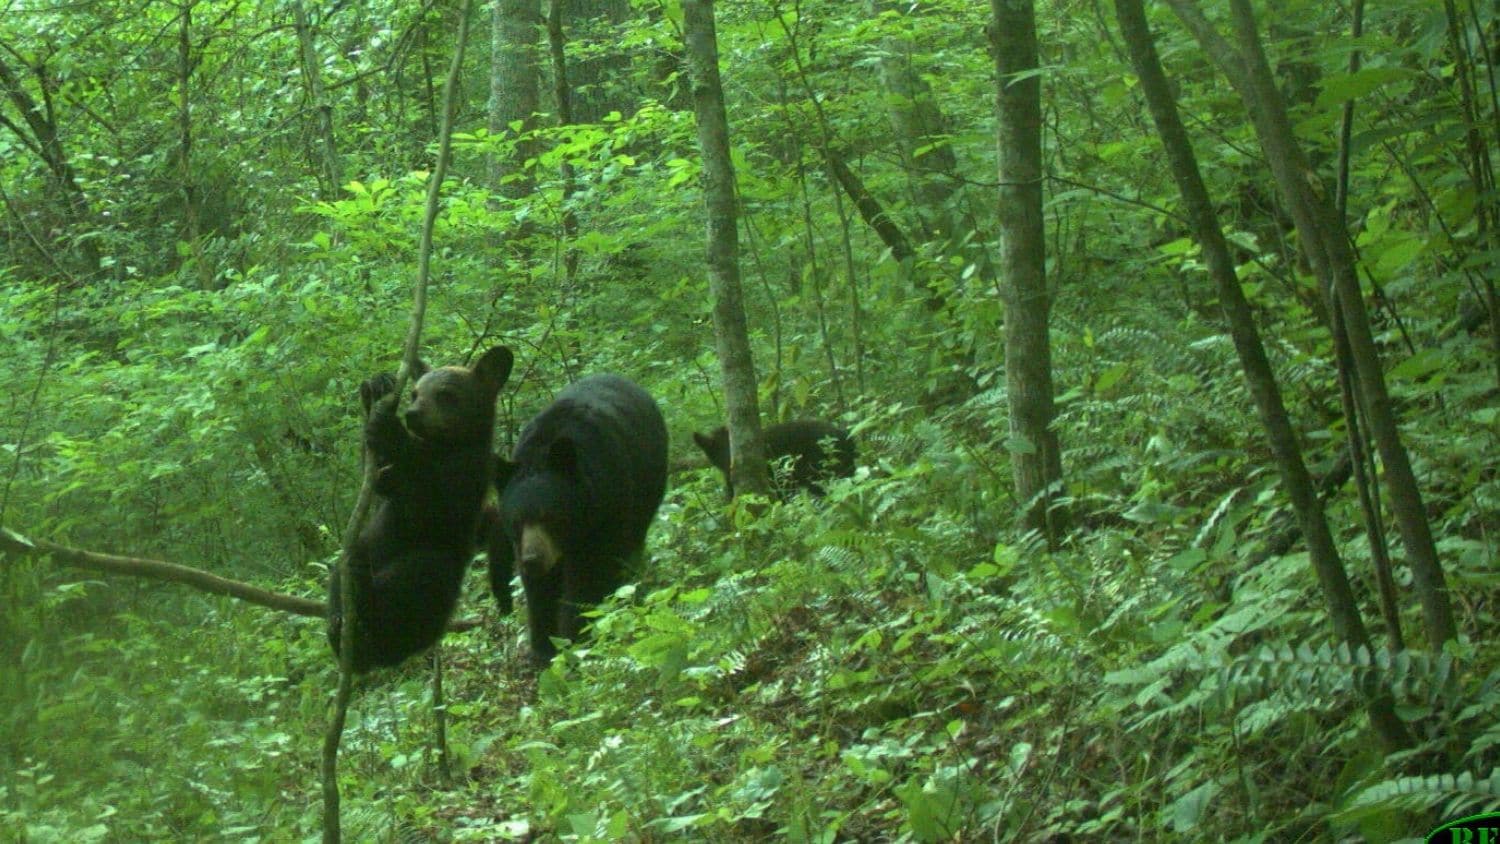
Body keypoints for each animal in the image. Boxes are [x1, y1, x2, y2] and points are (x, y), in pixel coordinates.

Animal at [328, 343, 516, 674]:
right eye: (415, 393)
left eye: (446, 394)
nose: (412, 414)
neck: (441, 448)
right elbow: (380, 481)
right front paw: (376, 390)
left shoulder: (469, 473)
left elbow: (431, 508)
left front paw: (392, 431)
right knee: (345, 566)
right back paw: (345, 625)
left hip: (436, 588)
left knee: (422, 571)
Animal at [501, 376, 666, 668]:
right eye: (516, 521)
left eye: (548, 515)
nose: (533, 559)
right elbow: (539, 591)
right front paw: (543, 649)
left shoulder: (604, 512)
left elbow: (586, 579)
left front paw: (574, 640)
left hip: (645, 491)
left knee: (629, 547)